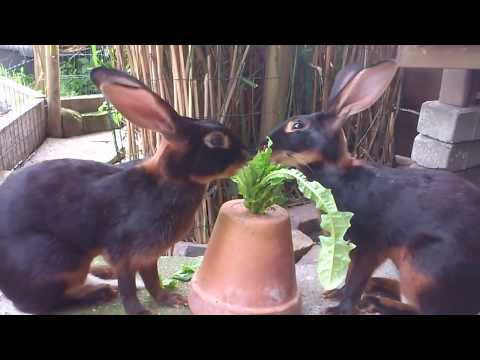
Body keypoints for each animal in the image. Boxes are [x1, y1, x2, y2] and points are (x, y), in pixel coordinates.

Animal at [0, 66, 248, 314]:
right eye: (216, 140)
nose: (246, 155)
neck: (170, 180)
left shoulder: (148, 255)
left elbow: (152, 280)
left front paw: (171, 299)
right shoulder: (125, 253)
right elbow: (128, 285)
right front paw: (139, 311)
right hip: (59, 261)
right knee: (45, 302)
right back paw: (100, 292)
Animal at [266, 59, 480, 316]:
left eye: (298, 125)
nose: (266, 142)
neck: (341, 175)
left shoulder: (369, 246)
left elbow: (355, 279)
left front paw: (339, 308)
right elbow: (349, 275)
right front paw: (333, 293)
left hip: (425, 265)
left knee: (427, 309)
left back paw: (374, 302)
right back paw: (375, 290)